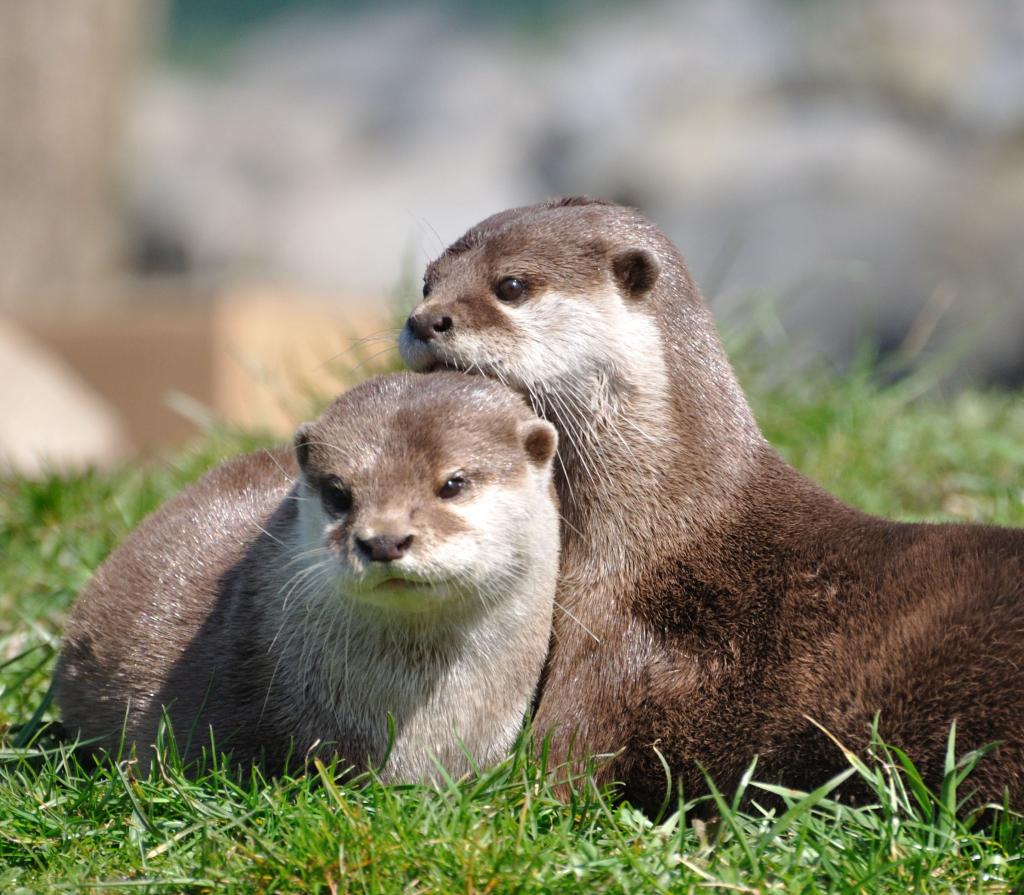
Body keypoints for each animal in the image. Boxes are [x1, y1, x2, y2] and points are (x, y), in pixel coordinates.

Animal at [400, 197, 1024, 812]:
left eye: (510, 285)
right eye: (427, 282)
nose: (424, 319)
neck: (659, 524)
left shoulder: (608, 642)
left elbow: (553, 775)